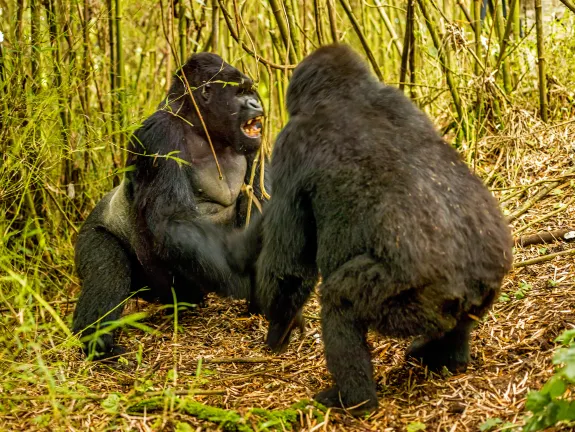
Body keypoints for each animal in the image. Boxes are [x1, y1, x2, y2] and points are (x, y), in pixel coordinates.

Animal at [73, 52, 268, 360]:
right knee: (107, 273)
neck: (198, 125)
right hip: (92, 233)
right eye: (240, 92)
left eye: (250, 91)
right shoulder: (160, 136)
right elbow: (172, 220)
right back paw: (98, 342)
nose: (256, 104)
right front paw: (247, 284)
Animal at [254, 45, 516, 414]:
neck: (344, 92)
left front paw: (279, 327)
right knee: (461, 323)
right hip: (483, 288)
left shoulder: (288, 145)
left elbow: (288, 266)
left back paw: (354, 399)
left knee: (339, 301)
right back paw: (445, 356)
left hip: (405, 298)